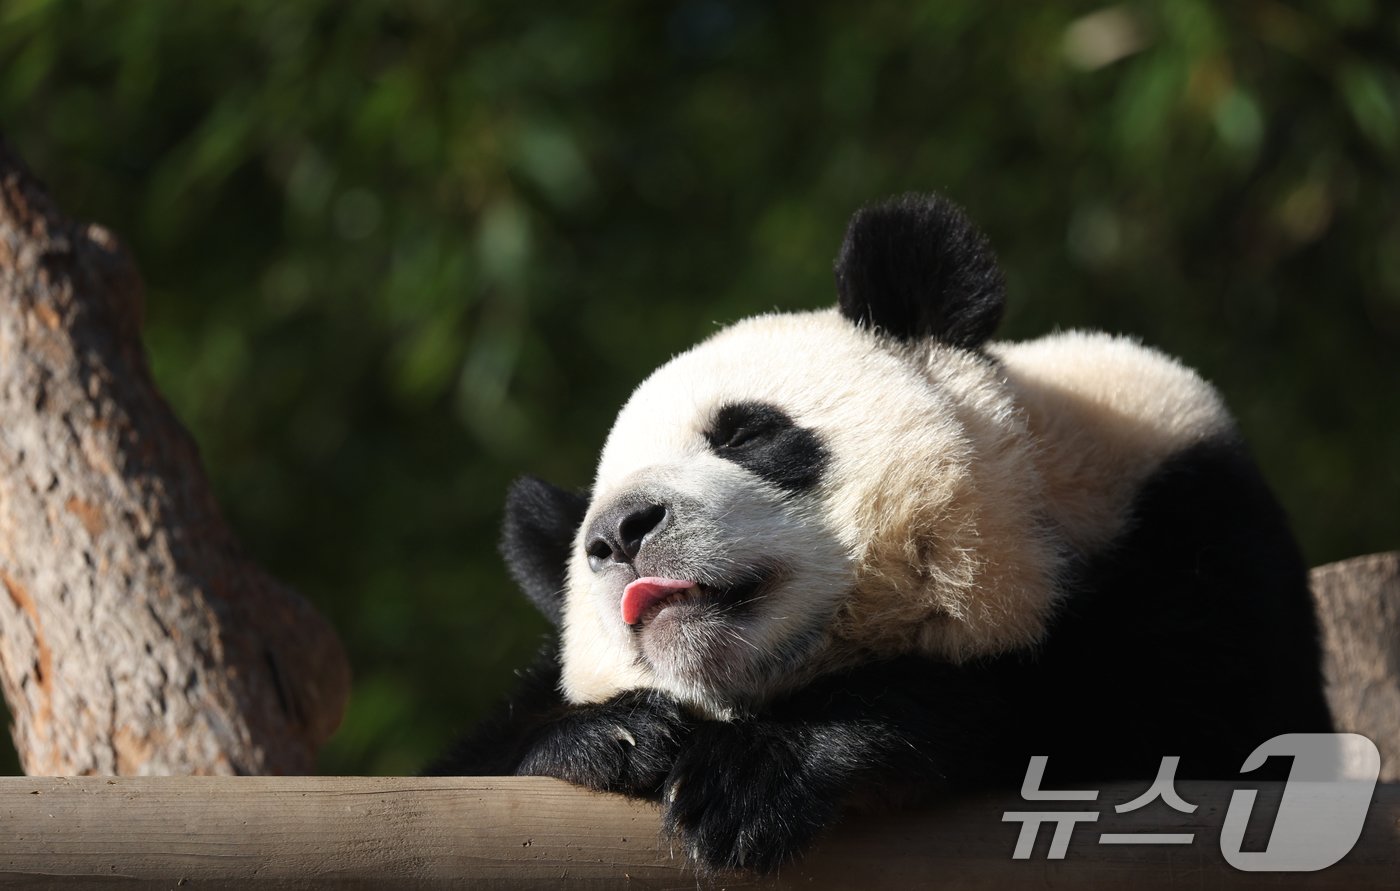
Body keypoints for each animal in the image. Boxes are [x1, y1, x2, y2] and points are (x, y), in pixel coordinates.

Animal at [428, 193, 1332, 868]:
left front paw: (758, 775)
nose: (620, 530)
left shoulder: (1184, 523)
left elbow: (1173, 733)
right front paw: (619, 734)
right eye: (588, 538)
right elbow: (466, 766)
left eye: (745, 432)